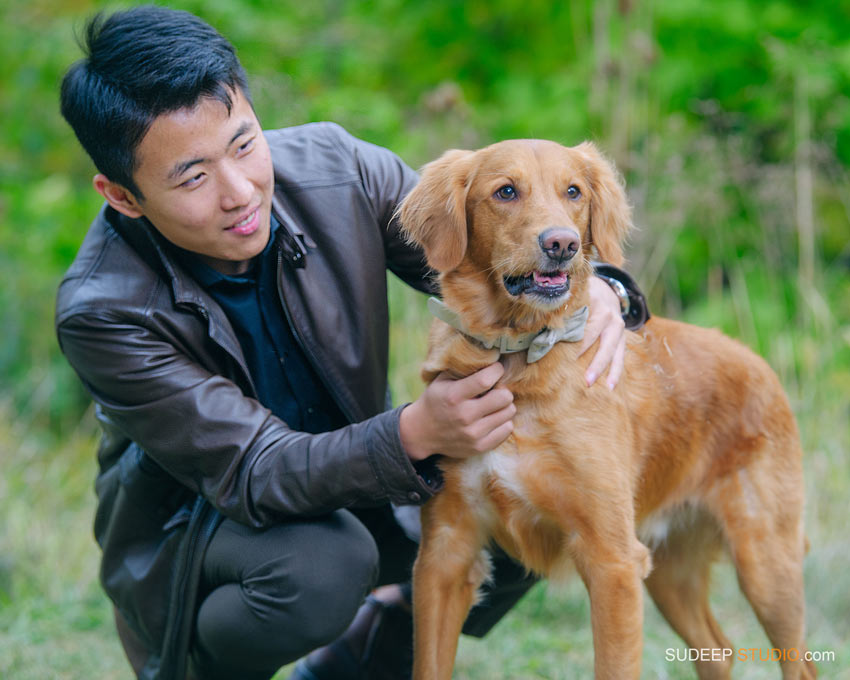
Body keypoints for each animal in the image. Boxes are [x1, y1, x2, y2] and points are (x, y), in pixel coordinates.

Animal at [398, 139, 816, 680]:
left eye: (573, 191)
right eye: (505, 191)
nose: (562, 244)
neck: (517, 358)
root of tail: (759, 363)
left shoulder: (612, 560)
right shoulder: (445, 554)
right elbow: (429, 663)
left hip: (766, 566)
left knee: (798, 663)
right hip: (671, 573)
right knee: (719, 650)